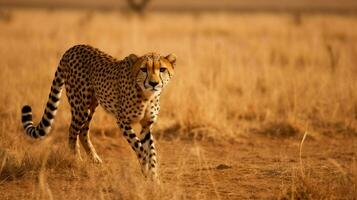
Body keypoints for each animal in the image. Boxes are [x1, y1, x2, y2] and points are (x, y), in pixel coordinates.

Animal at [20, 44, 176, 179]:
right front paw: (146, 170)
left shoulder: (146, 125)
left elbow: (151, 152)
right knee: (72, 131)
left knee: (83, 131)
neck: (147, 95)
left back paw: (94, 158)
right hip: (81, 106)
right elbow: (140, 148)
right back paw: (76, 160)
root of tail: (73, 48)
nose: (154, 83)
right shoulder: (123, 121)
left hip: (91, 106)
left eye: (162, 69)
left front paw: (154, 178)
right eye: (144, 69)